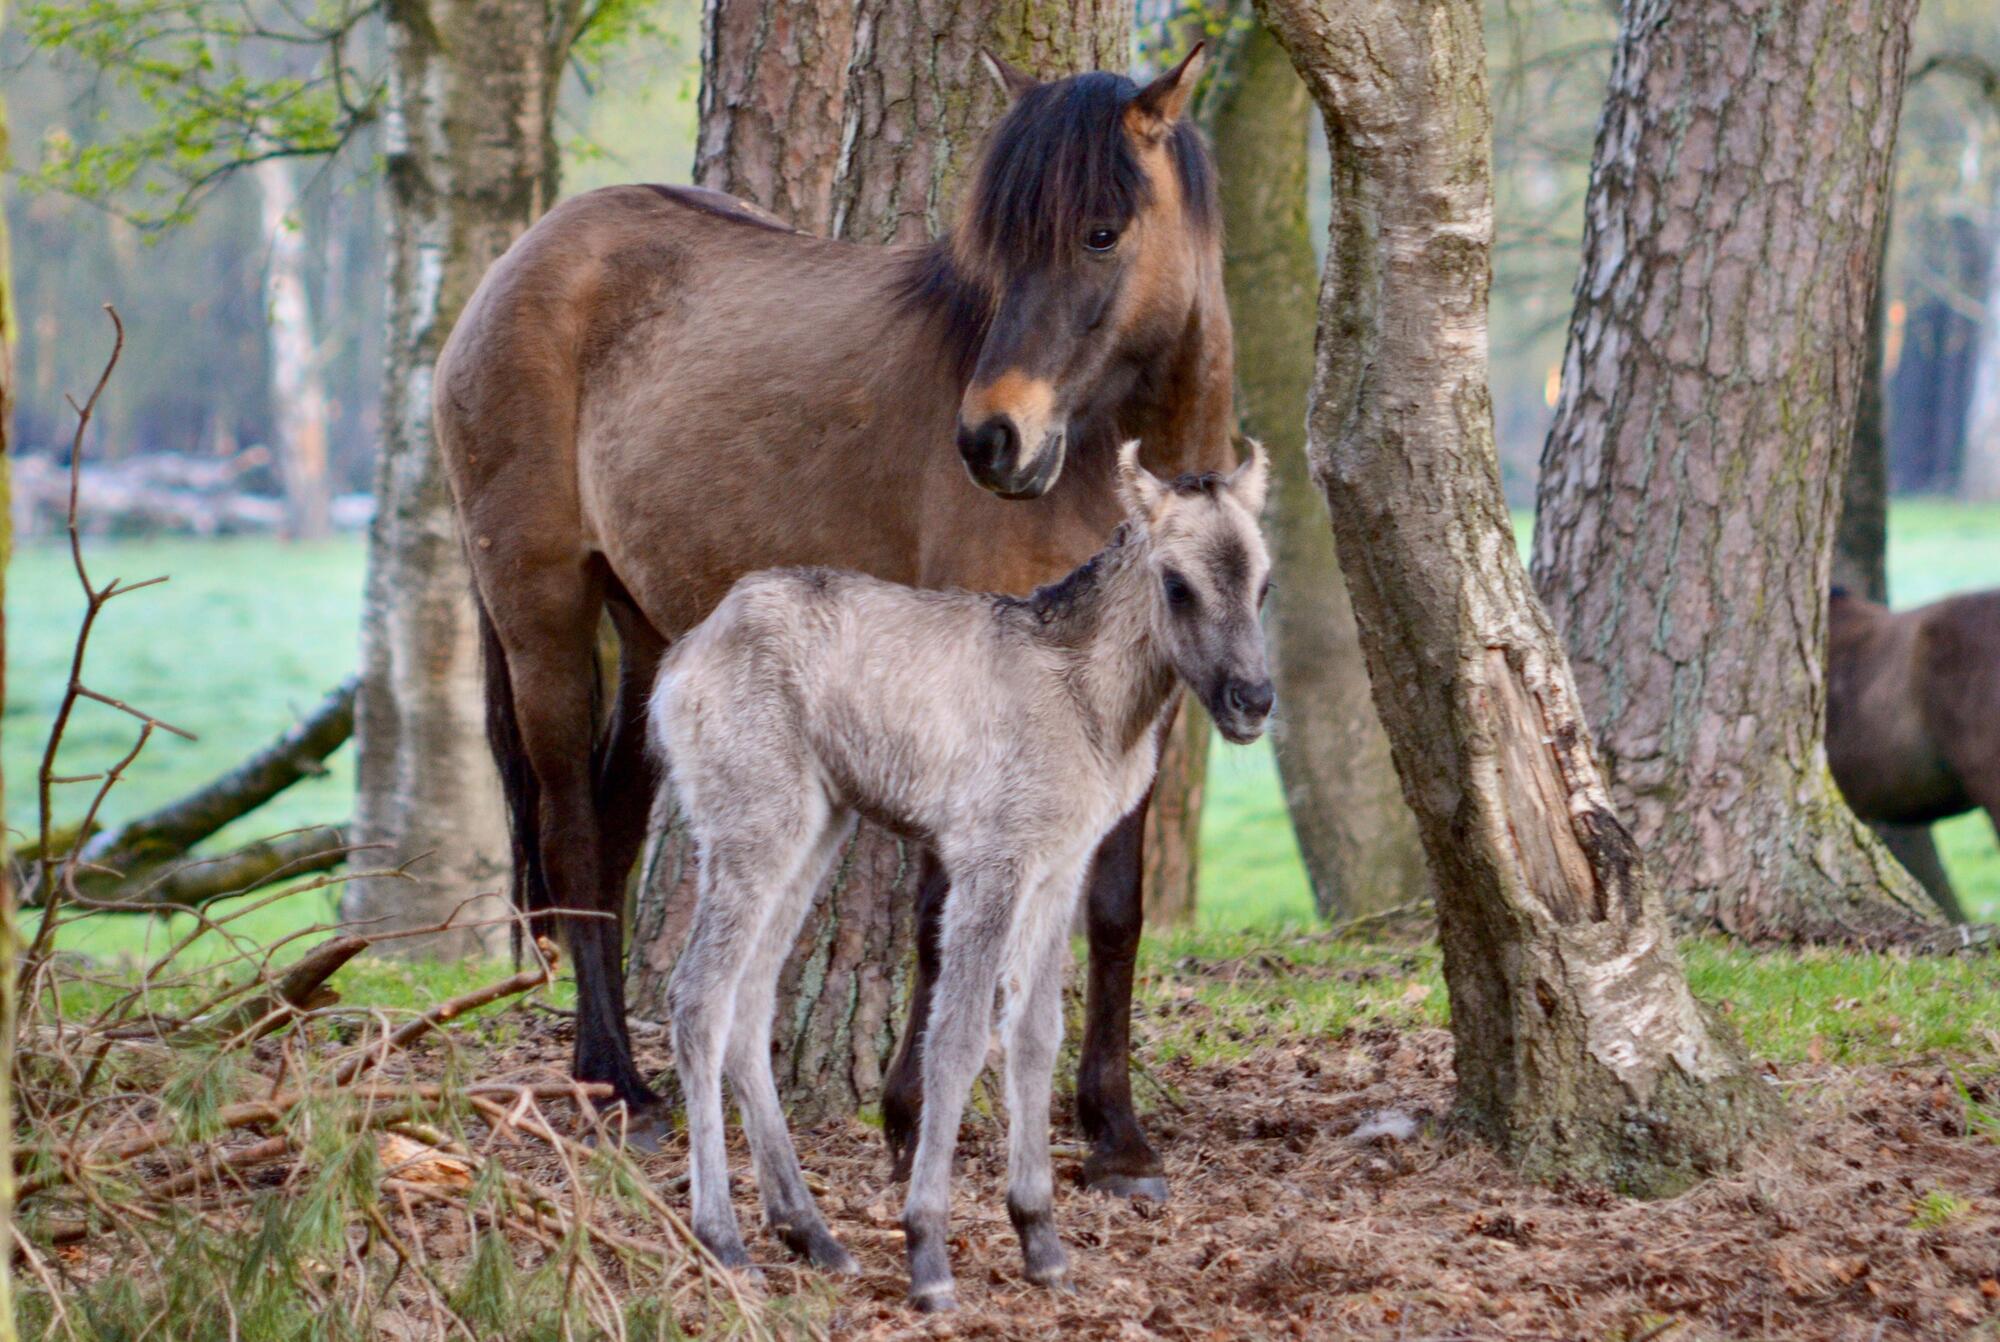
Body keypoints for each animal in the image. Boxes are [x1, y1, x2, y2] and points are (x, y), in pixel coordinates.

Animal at [430, 50, 1224, 1200]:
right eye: (997, 247)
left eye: (1101, 232)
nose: (991, 440)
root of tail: (526, 257)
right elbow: (946, 917)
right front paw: (912, 1119)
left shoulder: (1136, 709)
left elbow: (1112, 911)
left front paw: (1116, 1137)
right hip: (541, 616)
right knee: (573, 837)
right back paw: (617, 1083)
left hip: (651, 633)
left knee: (615, 833)